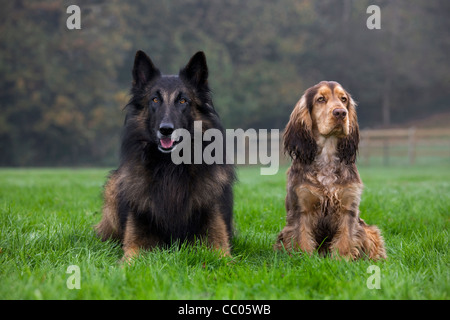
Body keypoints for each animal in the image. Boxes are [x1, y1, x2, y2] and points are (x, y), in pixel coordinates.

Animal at [95, 49, 236, 260]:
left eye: (183, 100)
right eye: (155, 100)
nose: (166, 130)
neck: (170, 168)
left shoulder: (216, 244)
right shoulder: (135, 243)